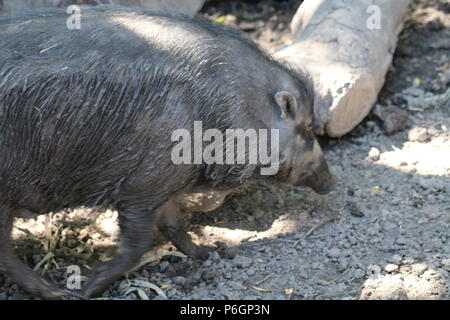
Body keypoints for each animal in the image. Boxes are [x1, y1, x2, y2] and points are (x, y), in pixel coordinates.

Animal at [0, 6, 338, 298]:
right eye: (307, 127)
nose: (333, 182)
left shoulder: (168, 182)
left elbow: (174, 224)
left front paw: (209, 252)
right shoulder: (144, 181)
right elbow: (137, 244)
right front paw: (88, 288)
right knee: (5, 253)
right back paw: (53, 292)